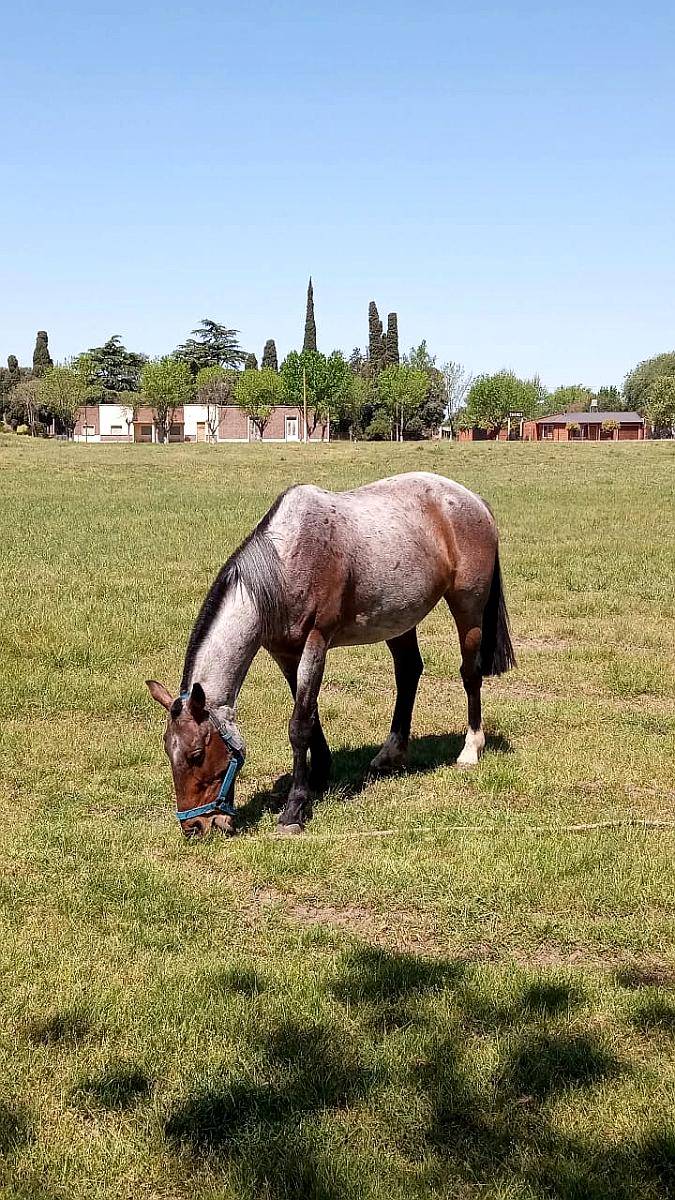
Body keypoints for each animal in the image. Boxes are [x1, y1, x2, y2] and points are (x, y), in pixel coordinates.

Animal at [146, 471, 515, 837]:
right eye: (168, 750)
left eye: (196, 754)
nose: (196, 826)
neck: (285, 567)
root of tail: (473, 500)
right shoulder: (286, 654)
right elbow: (310, 715)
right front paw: (320, 775)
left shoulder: (316, 643)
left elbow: (299, 725)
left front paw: (294, 809)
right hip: (399, 619)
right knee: (409, 672)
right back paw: (390, 754)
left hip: (468, 607)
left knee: (469, 674)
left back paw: (470, 748)